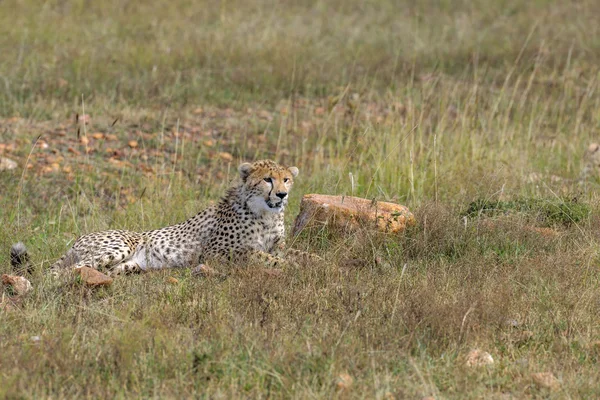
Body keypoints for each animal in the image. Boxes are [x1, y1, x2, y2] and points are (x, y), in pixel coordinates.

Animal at [10, 159, 318, 276]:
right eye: (267, 179)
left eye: (286, 179)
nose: (282, 195)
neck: (265, 214)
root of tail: (78, 238)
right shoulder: (217, 253)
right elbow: (260, 255)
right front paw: (289, 265)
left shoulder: (277, 243)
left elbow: (300, 252)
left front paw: (316, 260)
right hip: (118, 246)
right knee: (63, 271)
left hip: (127, 264)